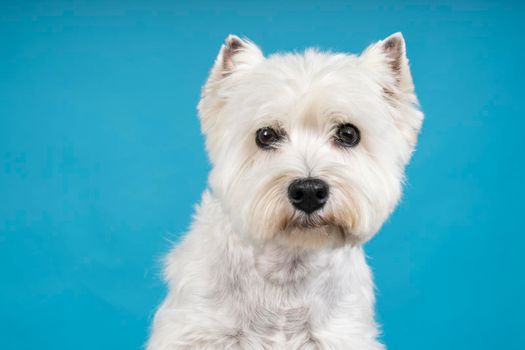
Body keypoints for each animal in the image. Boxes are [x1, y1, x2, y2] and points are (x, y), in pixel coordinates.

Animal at [146, 33, 422, 350]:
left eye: (349, 133)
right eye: (265, 135)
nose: (309, 192)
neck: (288, 271)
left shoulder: (341, 334)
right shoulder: (198, 332)